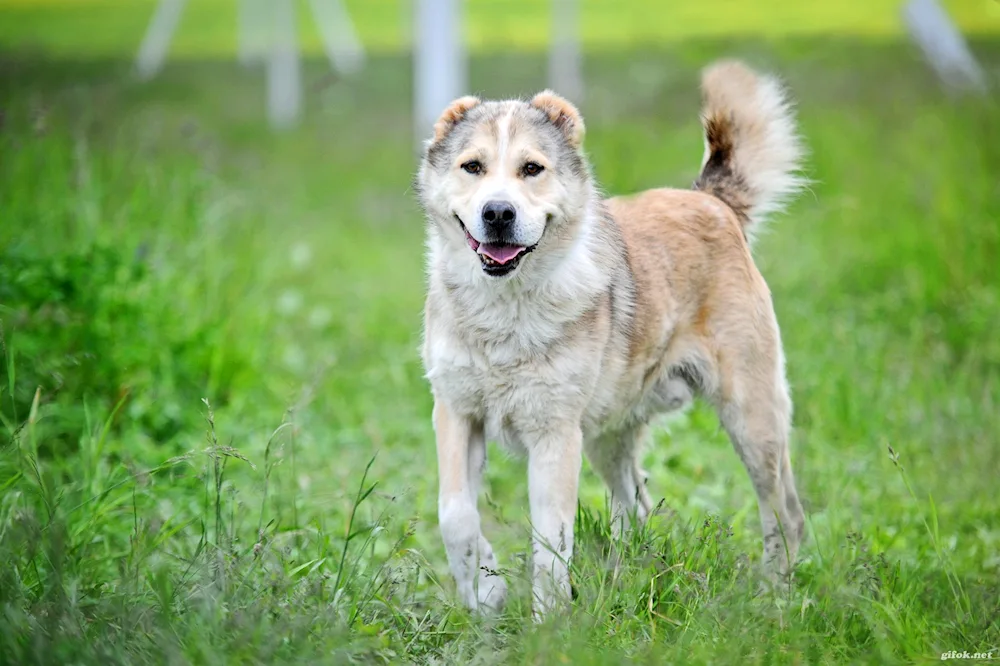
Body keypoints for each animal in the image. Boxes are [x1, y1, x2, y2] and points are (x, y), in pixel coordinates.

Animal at [416, 59, 812, 616]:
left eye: (531, 169)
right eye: (472, 167)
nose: (497, 213)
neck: (506, 310)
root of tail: (709, 201)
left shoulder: (555, 434)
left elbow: (551, 543)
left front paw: (548, 620)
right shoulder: (456, 412)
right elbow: (455, 517)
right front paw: (484, 593)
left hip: (753, 420)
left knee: (783, 512)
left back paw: (774, 592)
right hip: (606, 437)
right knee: (637, 506)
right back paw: (625, 578)